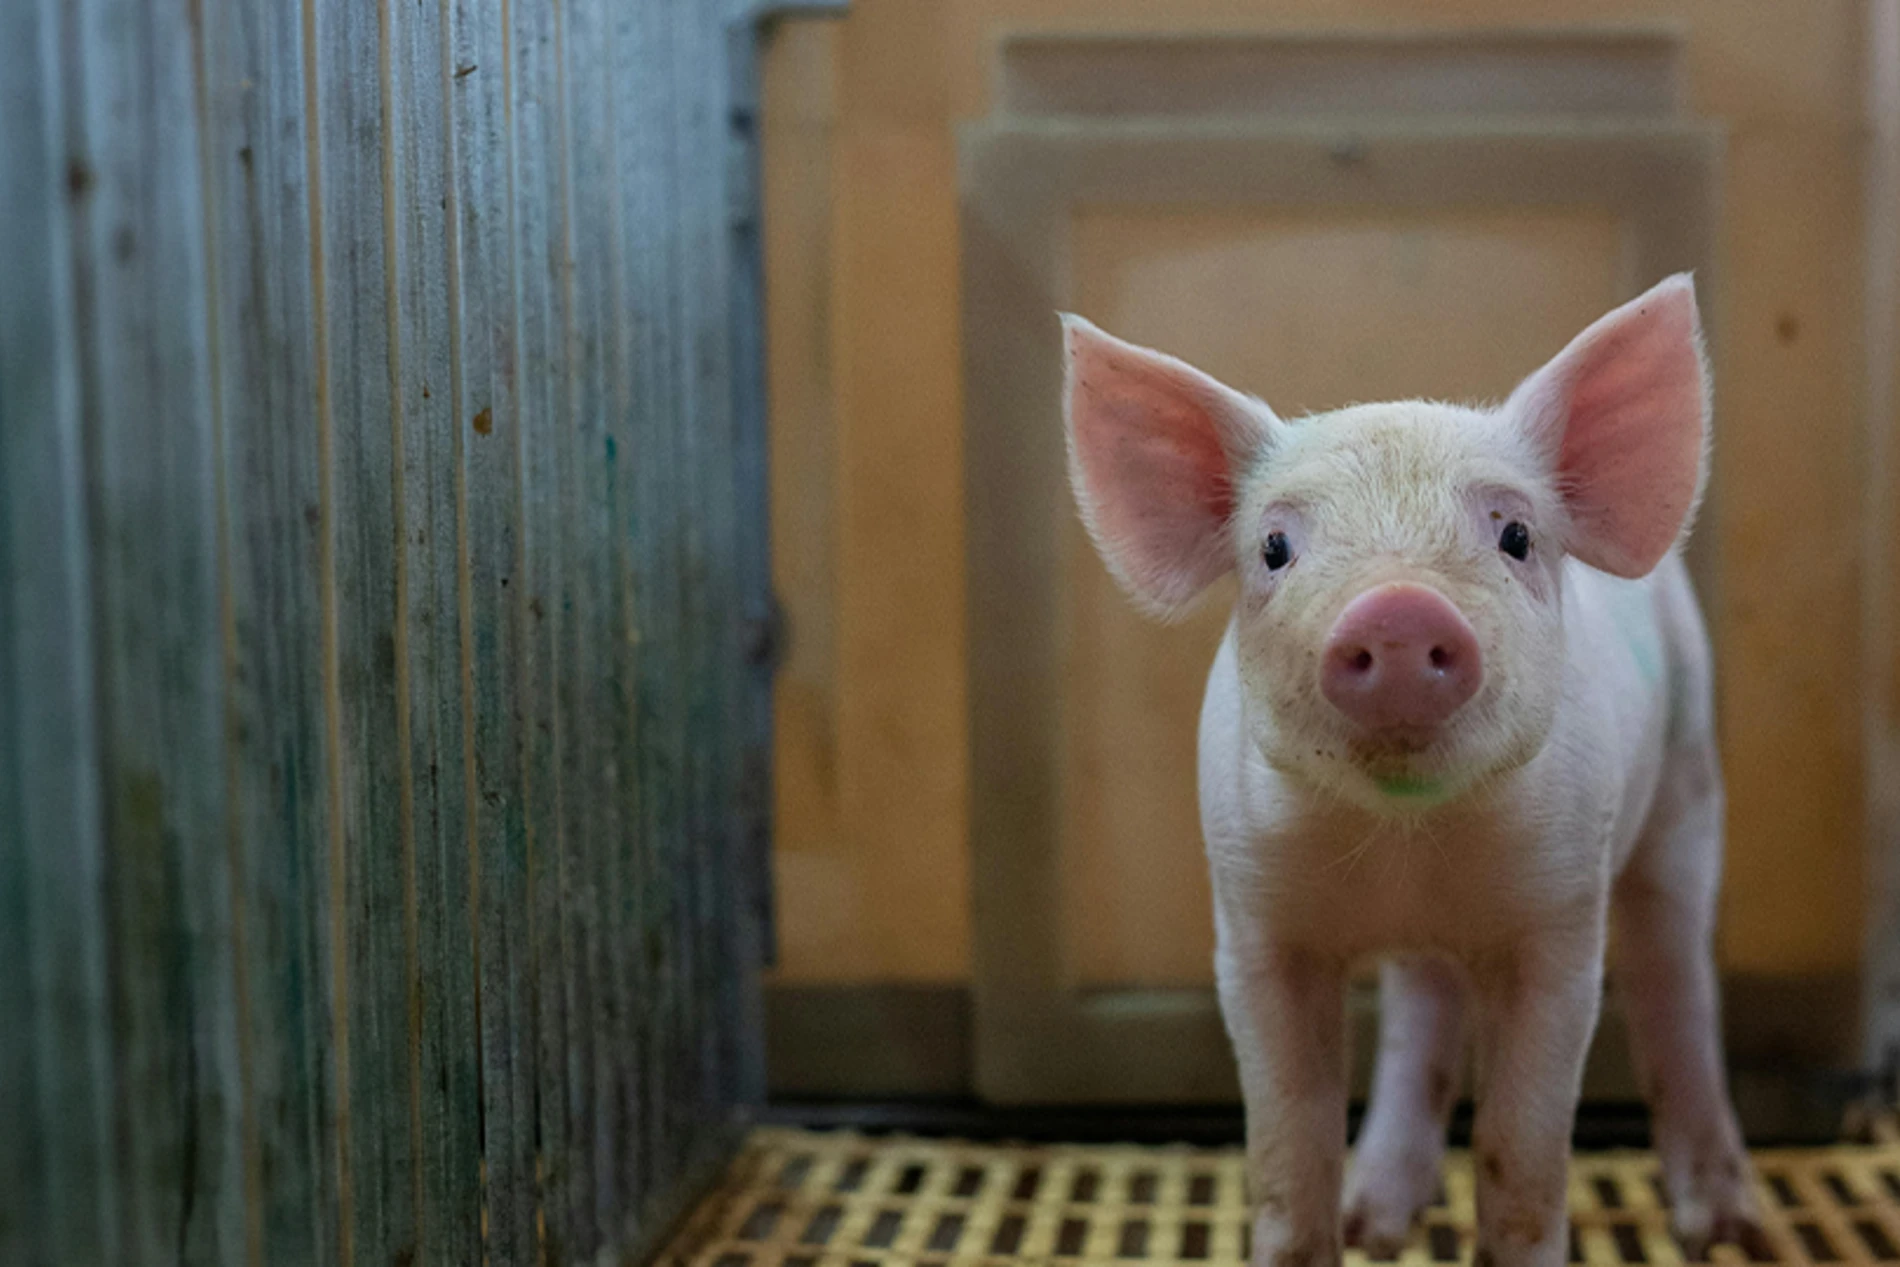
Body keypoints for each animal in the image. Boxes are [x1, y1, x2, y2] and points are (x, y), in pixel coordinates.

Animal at [1060, 274, 1762, 1267]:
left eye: (1515, 535)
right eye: (1274, 548)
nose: (1396, 608)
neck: (1406, 843)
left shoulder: (1559, 920)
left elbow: (1521, 1145)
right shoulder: (1253, 920)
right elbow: (1290, 1147)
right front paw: (1326, 1228)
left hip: (1690, 781)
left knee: (1678, 982)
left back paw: (1723, 1229)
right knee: (1421, 1008)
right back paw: (1377, 1220)